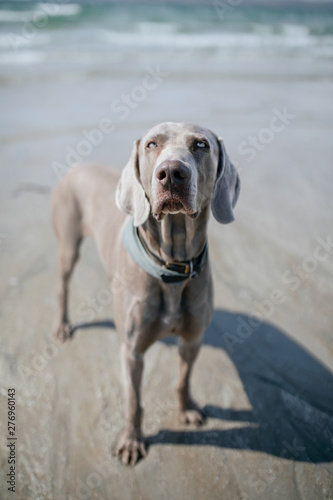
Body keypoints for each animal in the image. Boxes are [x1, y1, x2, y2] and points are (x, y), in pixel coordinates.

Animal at [51, 121, 239, 464]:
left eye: (201, 145)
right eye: (152, 144)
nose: (172, 173)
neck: (172, 265)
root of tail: (76, 168)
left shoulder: (193, 339)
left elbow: (183, 379)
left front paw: (187, 409)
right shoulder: (132, 351)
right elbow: (132, 401)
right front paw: (131, 441)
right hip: (67, 244)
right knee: (62, 286)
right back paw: (62, 325)